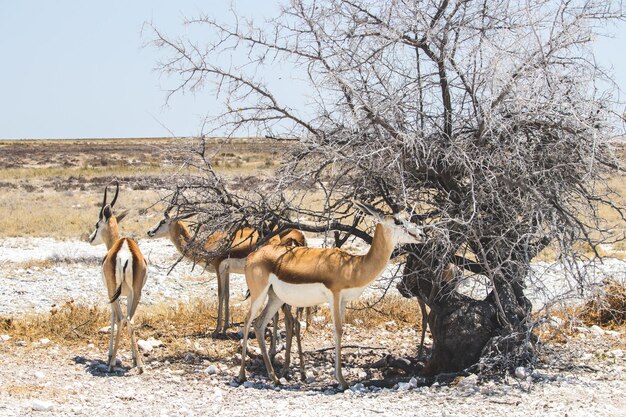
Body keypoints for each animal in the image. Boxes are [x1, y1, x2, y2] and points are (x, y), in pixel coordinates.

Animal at [88, 180, 147, 372]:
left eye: (97, 224)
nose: (90, 238)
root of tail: (124, 250)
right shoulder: (128, 294)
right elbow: (129, 319)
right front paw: (135, 358)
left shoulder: (111, 292)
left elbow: (113, 317)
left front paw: (108, 356)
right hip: (137, 292)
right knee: (130, 319)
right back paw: (140, 365)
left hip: (114, 291)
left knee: (121, 318)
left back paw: (112, 363)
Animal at [236, 200, 422, 388]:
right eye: (398, 221)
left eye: (408, 217)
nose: (420, 234)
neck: (354, 266)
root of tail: (252, 255)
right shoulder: (334, 296)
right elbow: (338, 330)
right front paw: (342, 380)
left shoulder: (343, 301)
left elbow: (341, 330)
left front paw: (340, 378)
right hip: (259, 294)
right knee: (248, 320)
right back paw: (242, 375)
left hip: (275, 298)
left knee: (259, 324)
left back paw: (274, 378)